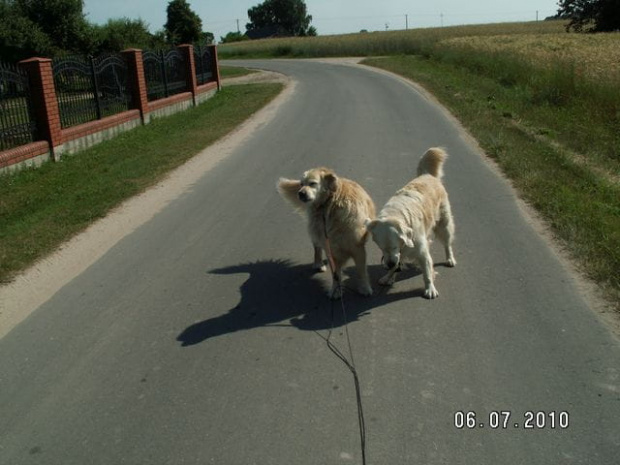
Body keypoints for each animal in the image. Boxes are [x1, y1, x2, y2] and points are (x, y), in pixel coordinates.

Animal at [278, 167, 376, 298]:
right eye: (301, 184)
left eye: (312, 183)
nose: (300, 193)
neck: (331, 203)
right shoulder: (332, 249)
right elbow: (336, 274)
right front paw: (335, 290)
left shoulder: (357, 248)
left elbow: (361, 271)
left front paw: (364, 288)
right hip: (317, 231)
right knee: (317, 247)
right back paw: (318, 263)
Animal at [364, 150, 456, 300]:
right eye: (381, 248)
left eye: (394, 246)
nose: (389, 264)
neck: (395, 214)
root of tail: (427, 175)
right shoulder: (397, 253)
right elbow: (397, 264)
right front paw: (388, 277)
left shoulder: (421, 251)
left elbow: (427, 272)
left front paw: (430, 289)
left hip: (444, 223)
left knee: (447, 243)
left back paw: (450, 259)